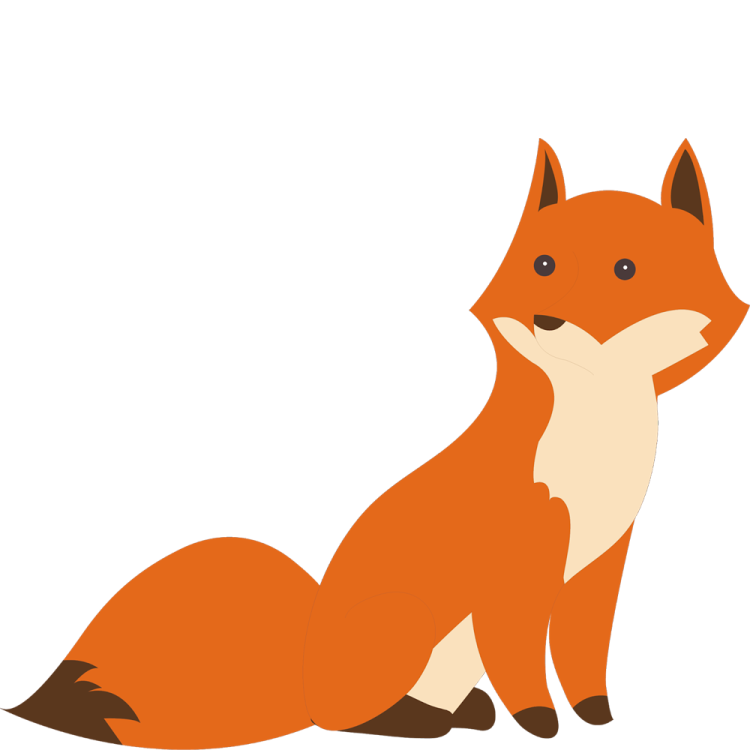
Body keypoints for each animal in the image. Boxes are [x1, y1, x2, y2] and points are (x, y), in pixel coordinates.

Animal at [2, 138, 747, 747]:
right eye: (543, 264)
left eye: (625, 270)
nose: (547, 319)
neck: (594, 440)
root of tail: (306, 670)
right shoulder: (515, 571)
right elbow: (522, 665)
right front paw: (540, 723)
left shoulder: (599, 563)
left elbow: (584, 658)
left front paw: (597, 717)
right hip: (403, 627)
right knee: (345, 722)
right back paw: (423, 723)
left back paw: (461, 714)